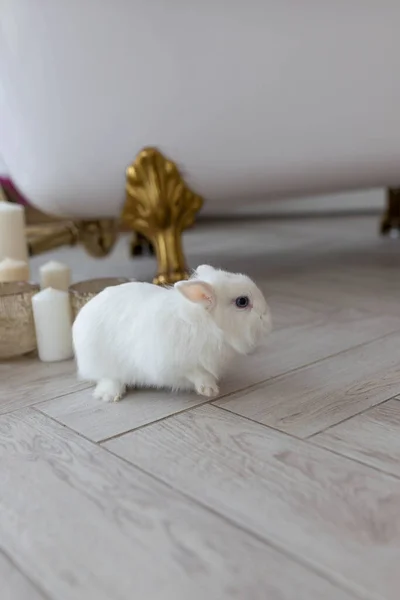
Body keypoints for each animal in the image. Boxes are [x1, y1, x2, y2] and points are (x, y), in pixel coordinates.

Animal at [72, 264, 272, 400]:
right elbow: (196, 373)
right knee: (107, 378)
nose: (267, 318)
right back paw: (110, 394)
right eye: (242, 302)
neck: (206, 324)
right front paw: (208, 390)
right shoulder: (174, 364)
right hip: (102, 364)